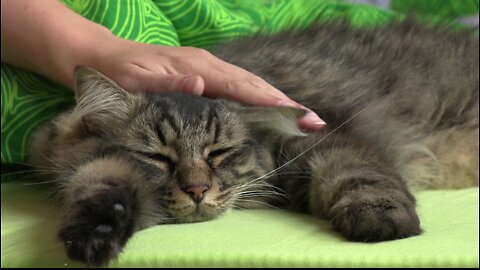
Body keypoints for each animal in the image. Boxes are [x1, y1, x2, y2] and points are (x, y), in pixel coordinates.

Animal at [28, 19, 478, 266]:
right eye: (158, 157)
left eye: (219, 153)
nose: (197, 190)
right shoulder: (103, 166)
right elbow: (102, 186)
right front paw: (94, 234)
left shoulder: (324, 138)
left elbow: (359, 174)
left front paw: (382, 222)